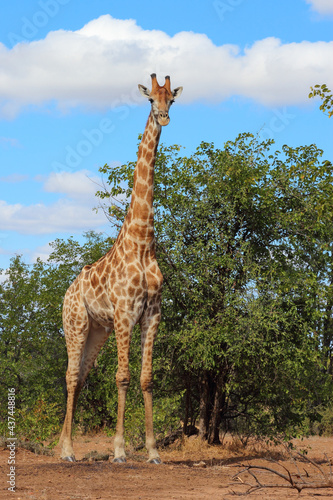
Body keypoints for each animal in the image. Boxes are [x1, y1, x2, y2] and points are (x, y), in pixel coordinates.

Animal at [57, 72, 182, 462]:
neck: (142, 243)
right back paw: (67, 451)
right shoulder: (126, 311)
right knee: (70, 376)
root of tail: (66, 293)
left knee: (81, 375)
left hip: (98, 330)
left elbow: (146, 378)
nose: (164, 118)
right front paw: (119, 450)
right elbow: (122, 377)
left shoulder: (153, 312)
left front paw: (153, 451)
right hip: (76, 324)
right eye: (150, 100)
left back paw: (63, 447)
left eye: (172, 99)